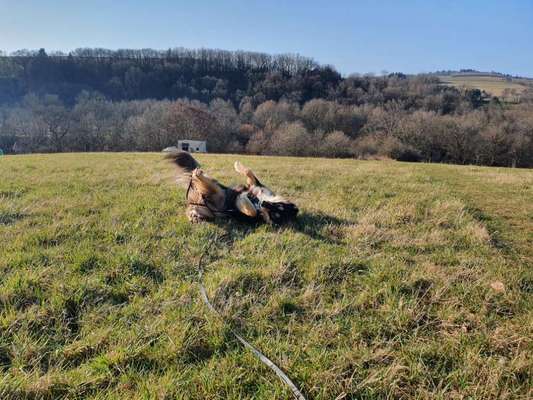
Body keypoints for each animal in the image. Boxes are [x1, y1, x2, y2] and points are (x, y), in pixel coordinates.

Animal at [164, 151, 298, 225]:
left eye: (275, 214)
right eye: (278, 206)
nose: (264, 203)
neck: (257, 200)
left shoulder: (249, 214)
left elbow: (253, 212)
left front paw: (246, 204)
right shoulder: (255, 185)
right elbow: (249, 172)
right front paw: (237, 165)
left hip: (213, 198)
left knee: (192, 207)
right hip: (215, 190)